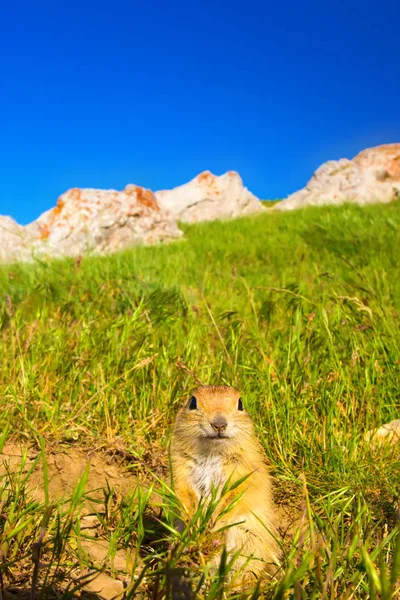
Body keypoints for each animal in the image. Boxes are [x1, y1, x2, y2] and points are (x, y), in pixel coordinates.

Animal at [170, 386, 280, 584]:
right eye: (192, 402)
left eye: (240, 403)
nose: (219, 424)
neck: (212, 452)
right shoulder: (180, 470)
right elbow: (183, 494)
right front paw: (194, 522)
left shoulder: (244, 472)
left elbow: (236, 496)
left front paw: (216, 523)